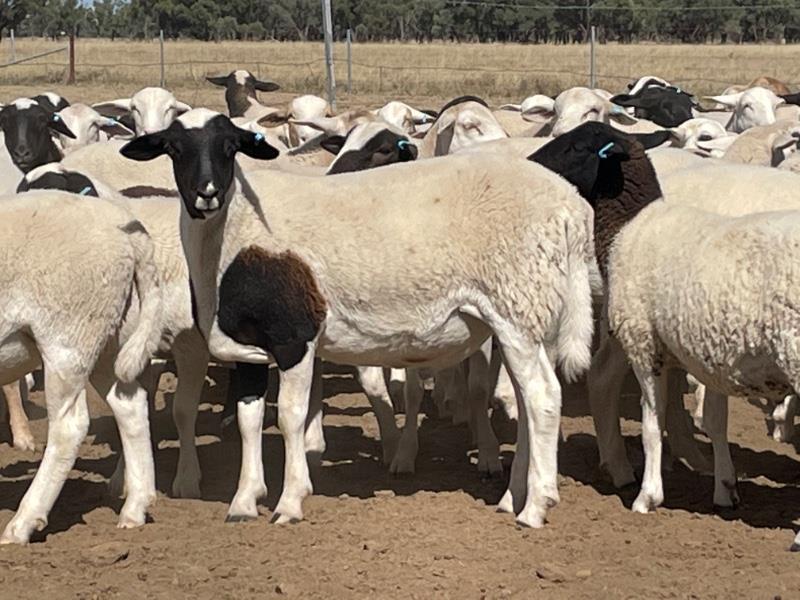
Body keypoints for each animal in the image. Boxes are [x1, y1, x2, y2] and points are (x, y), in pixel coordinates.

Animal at [0, 191, 161, 544]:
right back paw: (135, 508)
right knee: (129, 405)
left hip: (67, 337)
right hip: (109, 336)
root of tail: (124, 228)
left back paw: (22, 524)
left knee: (68, 428)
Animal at [117, 109, 592, 528]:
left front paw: (290, 502)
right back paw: (514, 498)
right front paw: (244, 501)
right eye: (174, 148)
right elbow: (249, 419)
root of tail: (571, 207)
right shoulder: (248, 346)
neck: (233, 235)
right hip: (524, 318)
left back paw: (536, 508)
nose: (207, 192)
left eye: (230, 146)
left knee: (542, 397)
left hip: (518, 307)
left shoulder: (295, 336)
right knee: (529, 402)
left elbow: (290, 417)